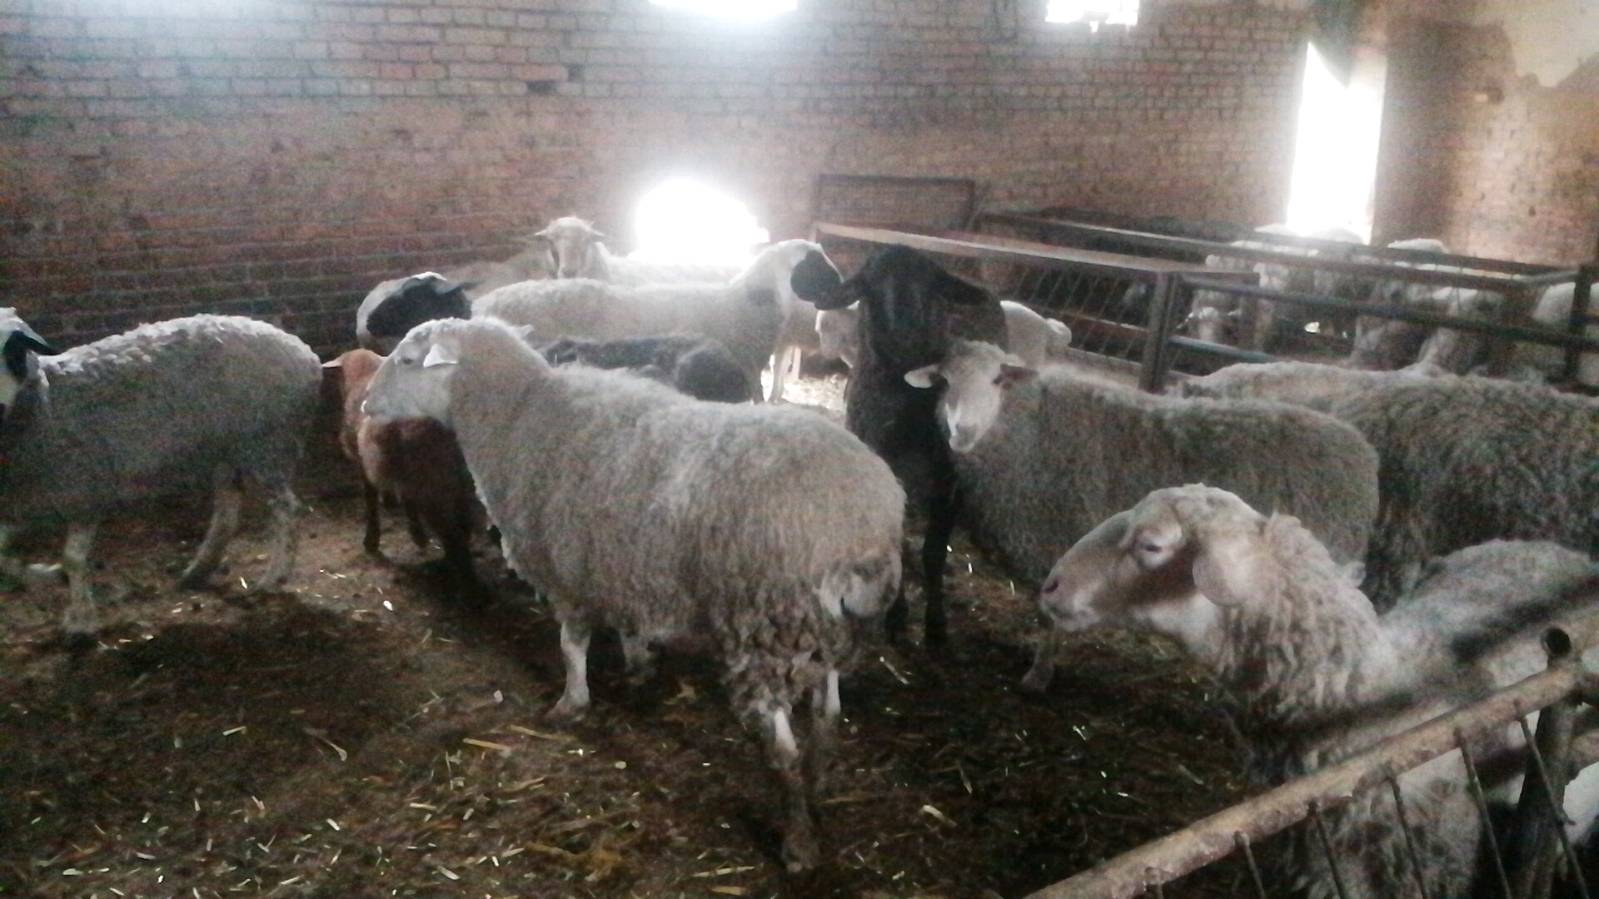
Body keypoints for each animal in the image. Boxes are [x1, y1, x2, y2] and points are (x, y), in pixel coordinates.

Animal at [0, 312, 320, 636]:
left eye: (13, 350)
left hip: (264, 442)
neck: (47, 402)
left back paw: (273, 577)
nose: (0, 407)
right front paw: (42, 574)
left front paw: (80, 620)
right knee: (227, 513)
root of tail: (304, 353)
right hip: (225, 450)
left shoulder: (84, 491)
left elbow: (73, 559)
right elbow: (4, 556)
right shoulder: (23, 502)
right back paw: (198, 570)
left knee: (285, 508)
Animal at [325, 349, 480, 591]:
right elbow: (406, 499)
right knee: (463, 525)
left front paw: (371, 541)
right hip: (460, 480)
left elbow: (370, 499)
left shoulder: (363, 463)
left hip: (432, 484)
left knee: (453, 536)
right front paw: (416, 532)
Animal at [810, 246, 1010, 648]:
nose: (905, 339)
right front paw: (897, 617)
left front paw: (936, 625)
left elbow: (934, 552)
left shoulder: (949, 478)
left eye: (931, 284)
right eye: (869, 285)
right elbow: (897, 542)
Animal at [900, 339, 1380, 690]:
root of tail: (1362, 452)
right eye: (944, 380)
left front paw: (1037, 675)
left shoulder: (1063, 537)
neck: (1031, 430)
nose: (961, 431)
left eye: (998, 378)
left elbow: (1053, 616)